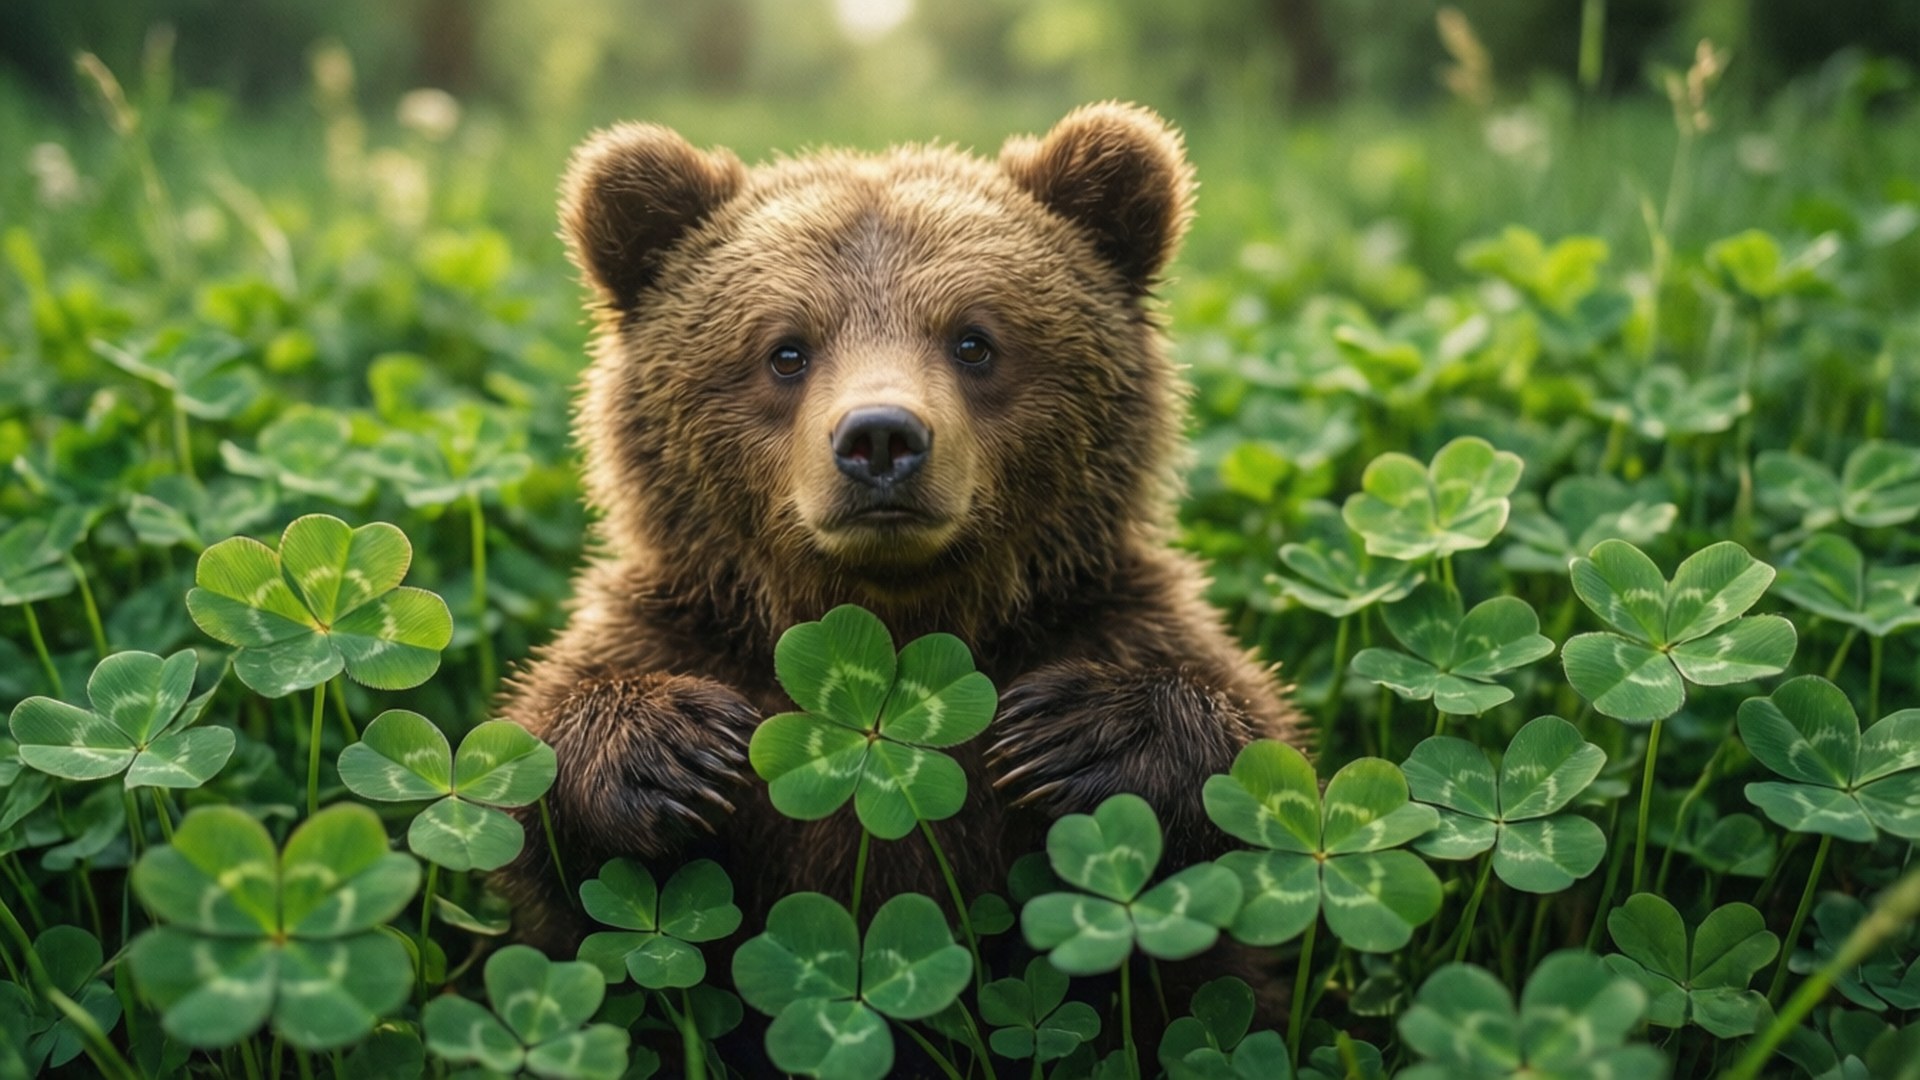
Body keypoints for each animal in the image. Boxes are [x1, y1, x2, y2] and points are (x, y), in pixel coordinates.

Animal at [499, 101, 1301, 1054]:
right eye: (786, 350)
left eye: (974, 340)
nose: (880, 436)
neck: (889, 616)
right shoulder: (686, 628)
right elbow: (537, 806)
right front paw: (668, 747)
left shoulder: (1104, 613)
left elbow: (1257, 770)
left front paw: (1083, 734)